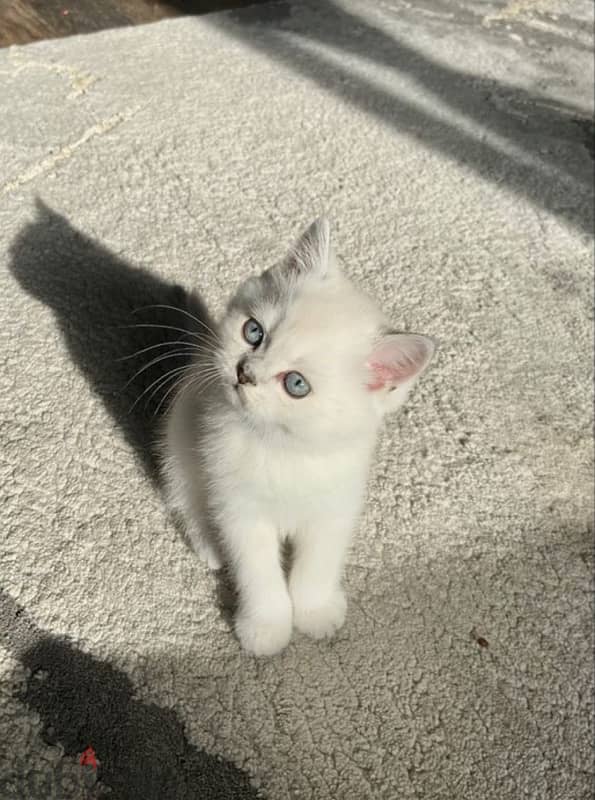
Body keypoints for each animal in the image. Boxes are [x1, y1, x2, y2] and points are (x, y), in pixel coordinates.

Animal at [161, 217, 436, 656]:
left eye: (296, 384)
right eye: (253, 332)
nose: (245, 373)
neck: (285, 448)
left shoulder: (335, 505)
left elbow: (317, 564)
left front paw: (315, 611)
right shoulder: (239, 508)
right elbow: (257, 571)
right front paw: (267, 626)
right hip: (179, 443)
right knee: (186, 499)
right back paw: (210, 546)